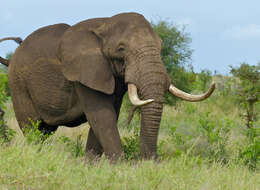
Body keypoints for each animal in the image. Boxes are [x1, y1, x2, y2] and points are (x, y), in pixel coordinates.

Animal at [3, 12, 215, 160]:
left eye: (161, 47)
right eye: (121, 49)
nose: (152, 163)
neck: (105, 23)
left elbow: (109, 114)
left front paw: (90, 166)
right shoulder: (84, 71)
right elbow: (102, 115)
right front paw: (120, 167)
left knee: (45, 131)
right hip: (18, 84)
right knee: (32, 128)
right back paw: (35, 156)